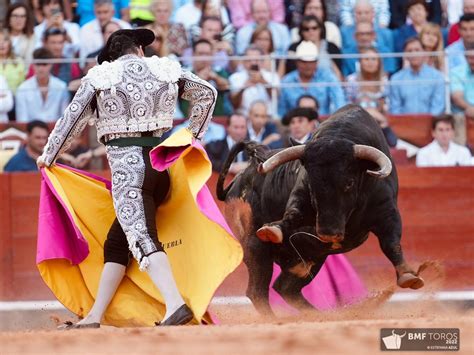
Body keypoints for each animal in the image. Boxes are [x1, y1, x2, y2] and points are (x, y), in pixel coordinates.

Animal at [217, 104, 424, 316]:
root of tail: (237, 181)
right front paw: (273, 229)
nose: (328, 233)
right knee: (258, 290)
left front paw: (408, 275)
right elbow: (293, 213)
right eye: (311, 182)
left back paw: (320, 315)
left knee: (285, 288)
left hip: (310, 258)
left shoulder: (387, 212)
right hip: (255, 246)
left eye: (349, 183)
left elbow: (391, 243)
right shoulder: (300, 197)